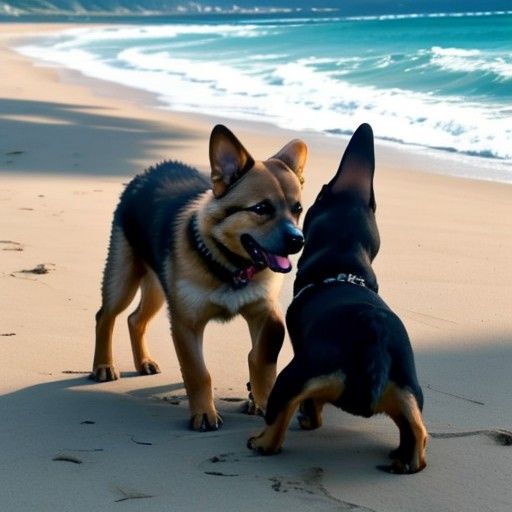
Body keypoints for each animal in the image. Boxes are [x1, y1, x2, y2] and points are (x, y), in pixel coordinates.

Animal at [91, 126, 308, 430]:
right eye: (261, 208)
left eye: (297, 208)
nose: (298, 240)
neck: (229, 265)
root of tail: (149, 172)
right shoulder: (186, 324)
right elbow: (198, 372)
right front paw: (204, 412)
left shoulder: (267, 311)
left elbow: (263, 352)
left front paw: (261, 397)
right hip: (123, 279)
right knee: (106, 315)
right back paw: (103, 365)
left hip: (157, 289)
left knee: (135, 319)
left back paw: (144, 361)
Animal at [248, 122, 428, 474]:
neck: (343, 265)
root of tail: (373, 345)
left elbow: (309, 407)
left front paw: (305, 419)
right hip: (408, 390)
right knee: (418, 431)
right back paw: (404, 458)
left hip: (297, 374)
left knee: (279, 421)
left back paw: (262, 441)